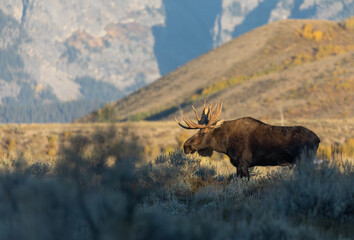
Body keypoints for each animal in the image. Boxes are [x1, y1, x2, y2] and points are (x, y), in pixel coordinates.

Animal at [176, 101, 320, 178]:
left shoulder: (243, 163)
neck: (225, 144)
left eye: (203, 132)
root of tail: (318, 139)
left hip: (305, 160)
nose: (186, 146)